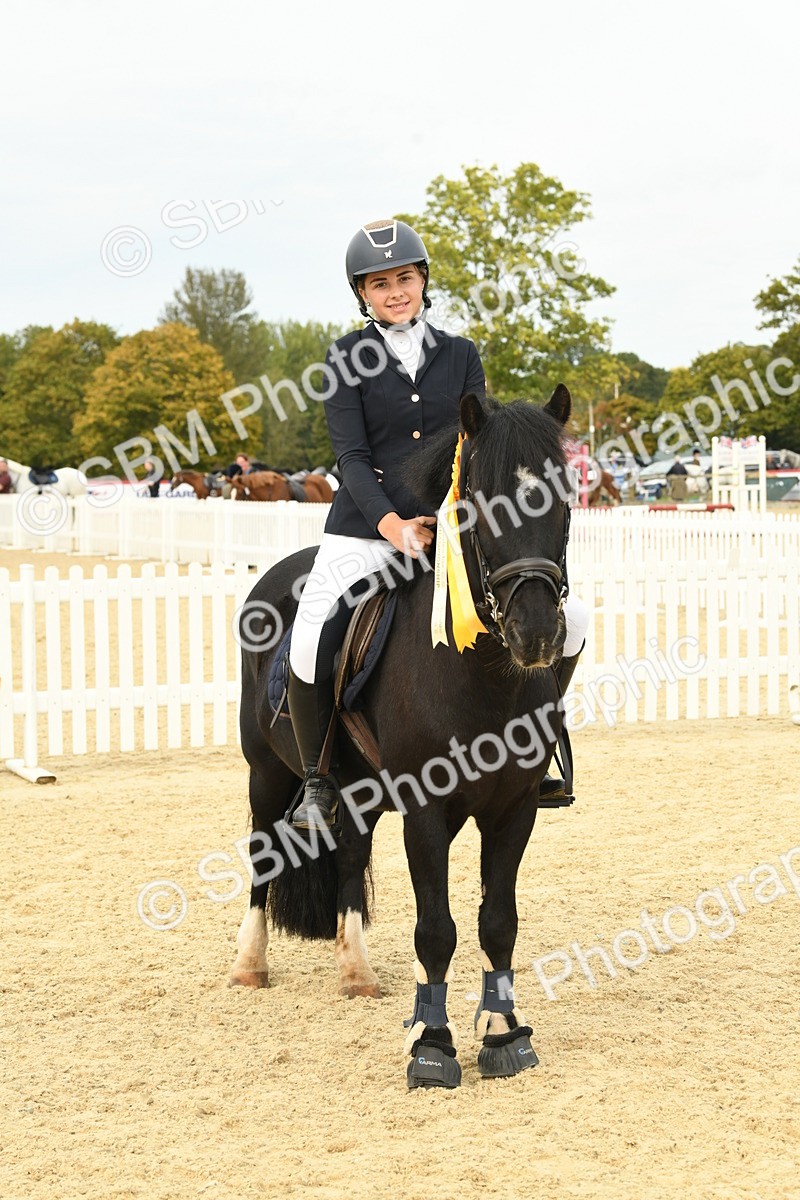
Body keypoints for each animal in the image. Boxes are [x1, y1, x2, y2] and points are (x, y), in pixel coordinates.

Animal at [230, 387, 574, 1088]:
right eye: (478, 504)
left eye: (562, 497)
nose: (535, 634)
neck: (483, 674)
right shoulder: (426, 811)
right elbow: (436, 929)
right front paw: (432, 1046)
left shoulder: (515, 809)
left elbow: (498, 921)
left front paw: (503, 1033)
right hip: (267, 773)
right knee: (261, 854)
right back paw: (251, 965)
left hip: (355, 792)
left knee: (349, 857)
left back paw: (356, 973)